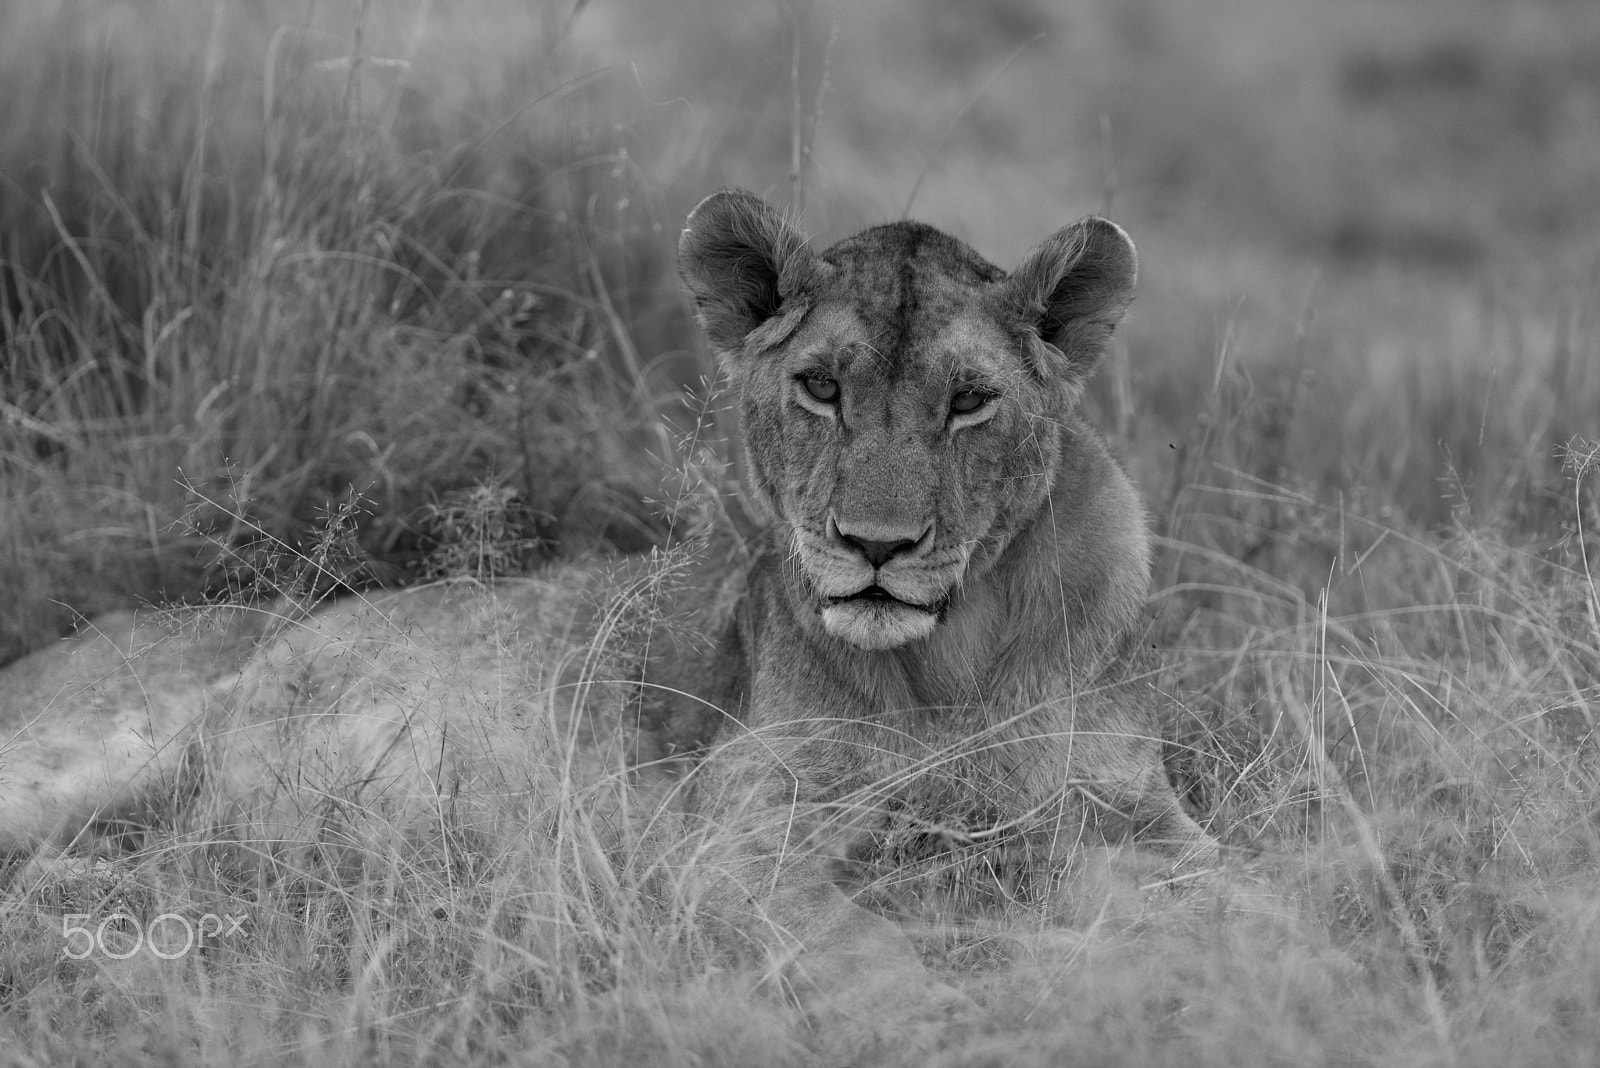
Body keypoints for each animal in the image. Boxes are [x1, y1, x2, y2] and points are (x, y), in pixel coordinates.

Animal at [0, 189, 1216, 1032]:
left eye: (969, 403)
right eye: (821, 388)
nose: (875, 548)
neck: (952, 659)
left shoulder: (1137, 819)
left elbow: (1235, 899)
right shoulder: (731, 840)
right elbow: (857, 943)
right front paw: (949, 1019)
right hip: (74, 757)